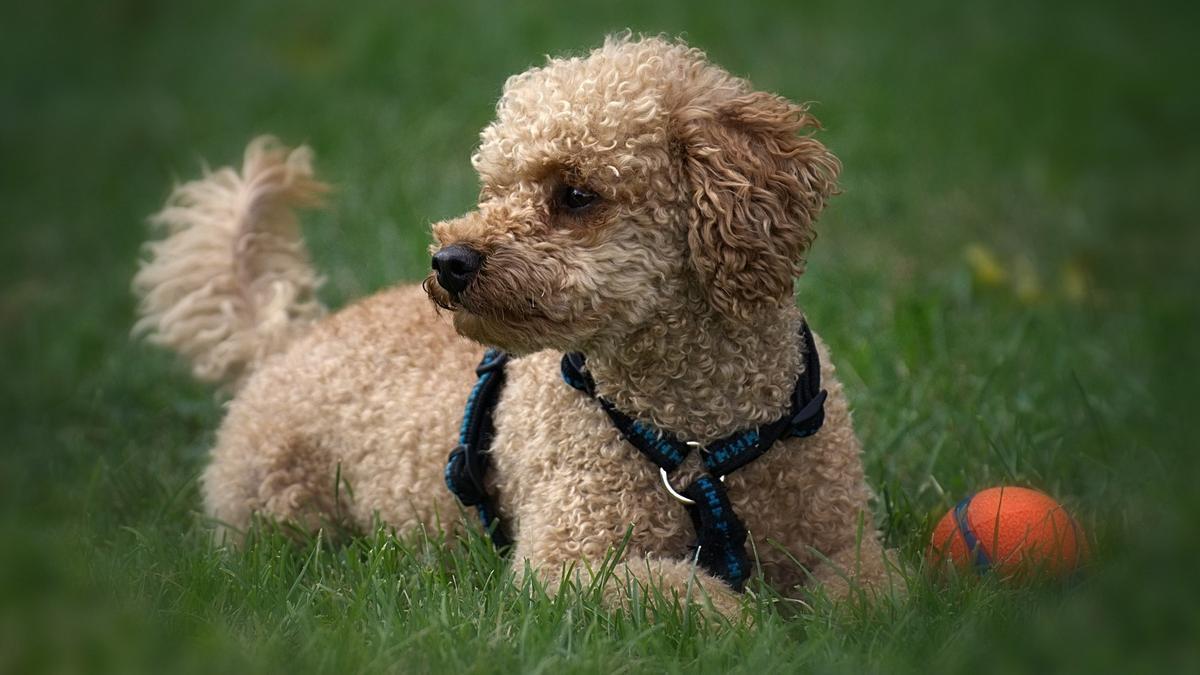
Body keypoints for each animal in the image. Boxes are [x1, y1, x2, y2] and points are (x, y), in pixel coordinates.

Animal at [136, 36, 897, 614]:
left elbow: (872, 592)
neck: (696, 438)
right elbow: (686, 597)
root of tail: (284, 341)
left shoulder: (840, 534)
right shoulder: (569, 562)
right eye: (495, 189)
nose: (449, 261)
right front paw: (751, 625)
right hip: (274, 505)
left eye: (576, 193)